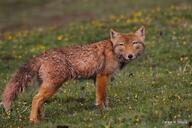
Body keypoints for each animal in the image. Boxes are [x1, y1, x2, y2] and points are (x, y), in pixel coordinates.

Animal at [0, 26, 145, 123]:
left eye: (134, 43)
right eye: (121, 45)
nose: (130, 56)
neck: (113, 51)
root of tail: (42, 55)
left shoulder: (96, 78)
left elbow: (104, 97)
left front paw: (106, 109)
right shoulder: (102, 76)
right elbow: (101, 98)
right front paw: (104, 111)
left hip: (47, 86)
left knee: (39, 100)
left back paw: (41, 119)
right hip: (53, 86)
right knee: (36, 99)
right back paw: (33, 121)